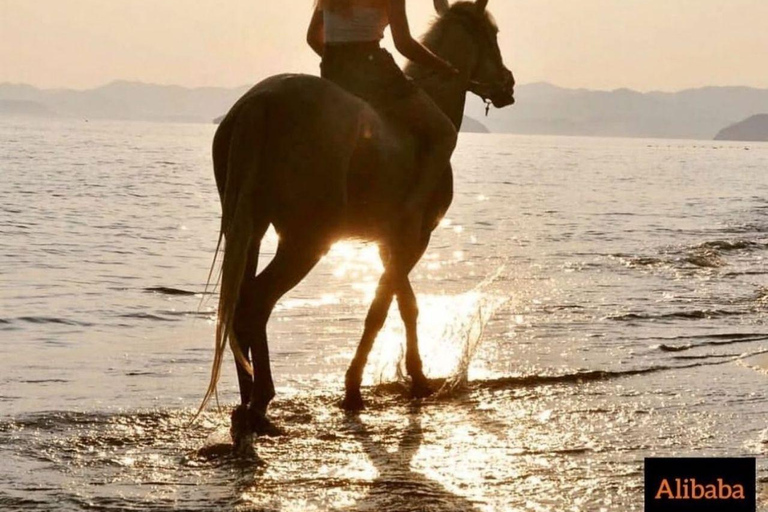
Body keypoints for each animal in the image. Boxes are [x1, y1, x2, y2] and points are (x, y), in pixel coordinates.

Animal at [200, 0, 515, 451]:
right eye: (493, 35)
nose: (508, 83)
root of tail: (262, 102)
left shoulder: (391, 241)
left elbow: (406, 304)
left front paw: (417, 377)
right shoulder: (414, 238)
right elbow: (380, 309)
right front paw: (353, 388)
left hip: (250, 227)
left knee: (239, 300)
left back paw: (245, 407)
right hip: (306, 240)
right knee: (256, 303)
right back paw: (260, 403)